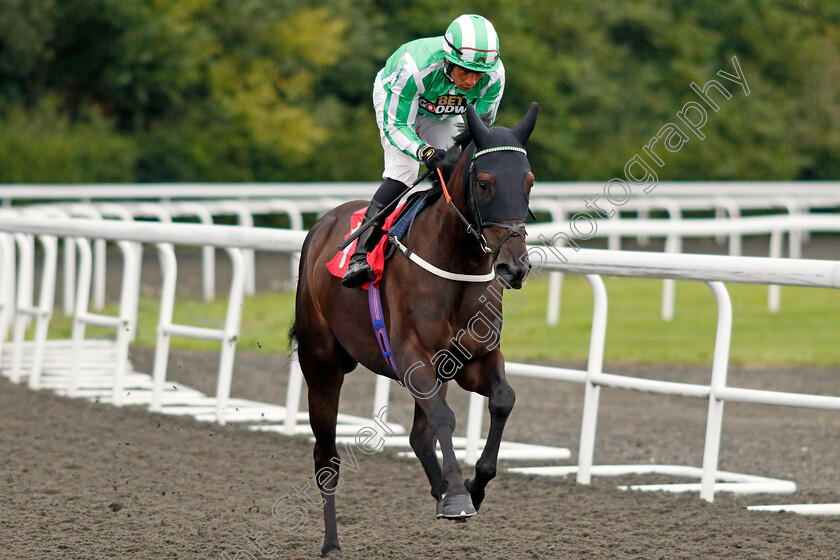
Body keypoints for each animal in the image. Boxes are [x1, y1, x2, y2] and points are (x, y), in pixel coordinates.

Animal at [288, 101, 540, 556]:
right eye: (485, 183)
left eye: (529, 181)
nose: (515, 267)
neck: (456, 266)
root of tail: (323, 225)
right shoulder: (411, 357)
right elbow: (444, 418)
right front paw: (457, 497)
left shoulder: (475, 358)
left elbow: (502, 400)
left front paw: (473, 487)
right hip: (322, 366)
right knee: (326, 457)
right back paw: (331, 543)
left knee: (419, 436)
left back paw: (439, 487)